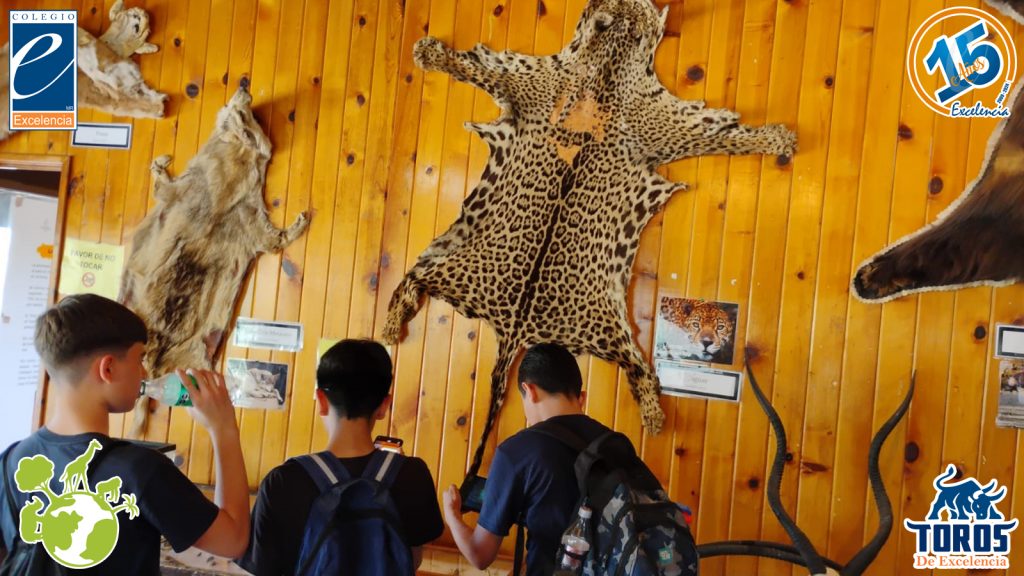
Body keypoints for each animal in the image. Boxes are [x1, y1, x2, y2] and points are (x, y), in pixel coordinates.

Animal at [382, 0, 797, 475]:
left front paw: (775, 137)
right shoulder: (533, 90)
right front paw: (430, 52)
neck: (606, 64)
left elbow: (730, 138)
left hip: (602, 326)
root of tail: (514, 328)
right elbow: (476, 69)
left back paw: (653, 413)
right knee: (408, 282)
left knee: (636, 368)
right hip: (448, 263)